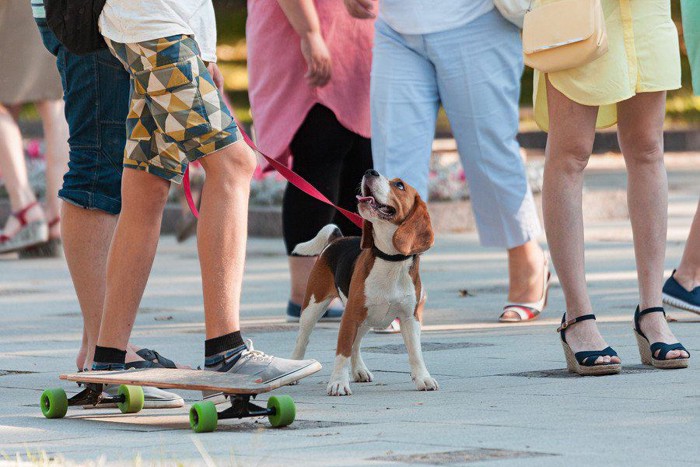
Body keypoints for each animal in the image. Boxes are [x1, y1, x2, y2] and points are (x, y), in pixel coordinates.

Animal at [292, 170, 438, 396]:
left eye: (399, 185)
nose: (371, 171)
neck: (390, 259)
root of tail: (337, 239)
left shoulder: (410, 318)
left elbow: (415, 352)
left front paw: (423, 378)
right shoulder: (350, 316)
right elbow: (342, 351)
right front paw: (338, 382)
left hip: (366, 319)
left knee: (356, 344)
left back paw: (359, 370)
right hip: (313, 307)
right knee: (303, 339)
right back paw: (297, 368)